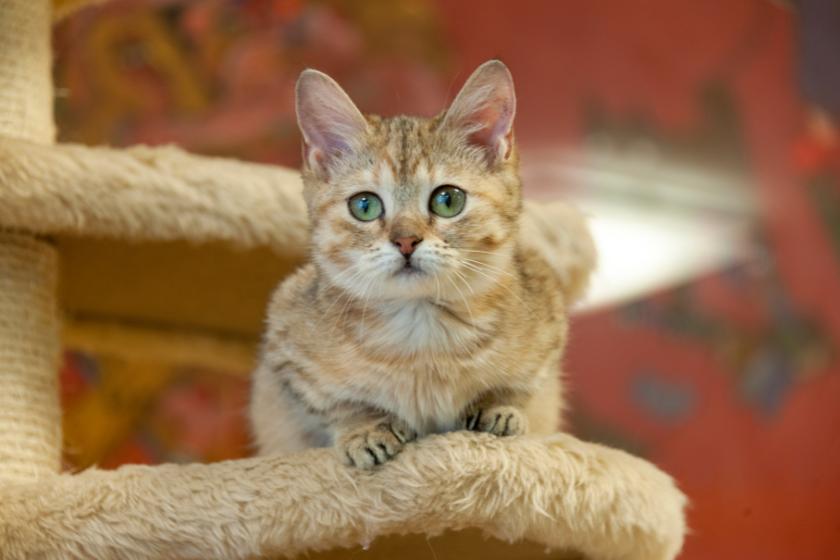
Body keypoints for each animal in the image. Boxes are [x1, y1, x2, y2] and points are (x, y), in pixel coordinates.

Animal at [249, 60, 584, 468]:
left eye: (448, 200)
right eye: (364, 205)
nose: (405, 241)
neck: (422, 333)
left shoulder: (548, 325)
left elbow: (520, 388)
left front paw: (499, 409)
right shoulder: (285, 349)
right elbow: (339, 404)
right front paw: (366, 428)